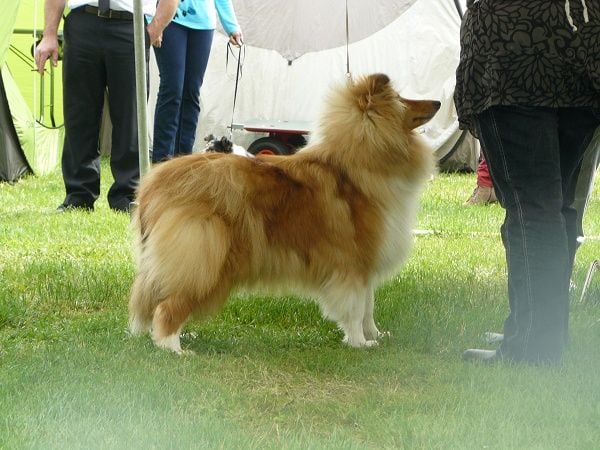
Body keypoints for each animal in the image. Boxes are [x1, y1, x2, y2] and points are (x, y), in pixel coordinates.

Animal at [129, 74, 438, 354]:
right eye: (401, 99)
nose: (436, 101)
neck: (357, 165)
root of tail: (154, 182)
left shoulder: (367, 261)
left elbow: (369, 305)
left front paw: (375, 335)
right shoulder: (352, 262)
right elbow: (356, 306)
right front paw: (360, 343)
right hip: (203, 255)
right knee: (167, 306)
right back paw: (174, 348)